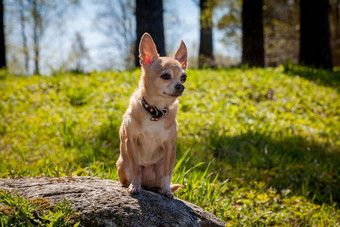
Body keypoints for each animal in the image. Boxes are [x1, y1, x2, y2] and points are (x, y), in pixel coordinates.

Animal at [116, 32, 186, 198]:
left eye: (184, 77)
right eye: (165, 76)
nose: (181, 86)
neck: (155, 111)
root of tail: (147, 184)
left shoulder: (170, 147)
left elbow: (168, 173)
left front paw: (167, 190)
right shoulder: (131, 141)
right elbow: (136, 168)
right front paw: (135, 186)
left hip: (158, 167)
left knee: (159, 180)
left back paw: (158, 189)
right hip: (122, 165)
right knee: (129, 176)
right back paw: (133, 184)